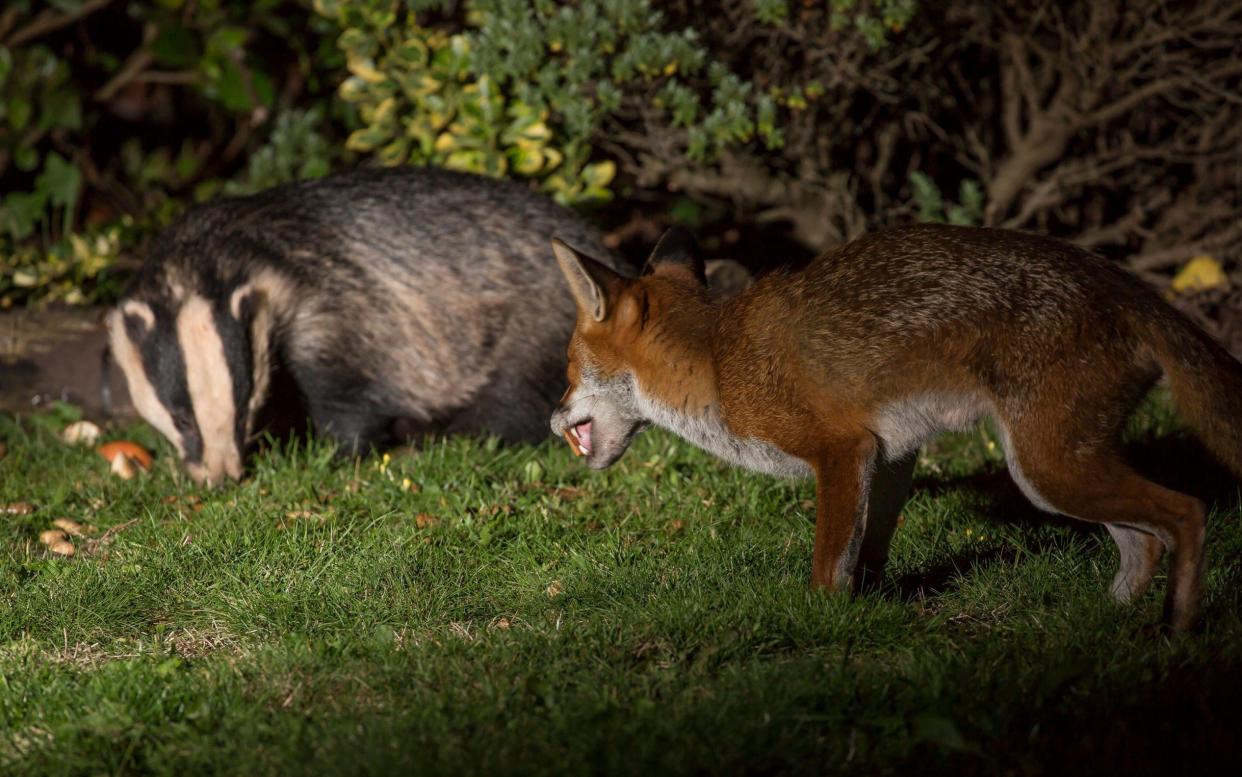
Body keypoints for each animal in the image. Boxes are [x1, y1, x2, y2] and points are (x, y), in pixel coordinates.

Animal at [548, 222, 1242, 630]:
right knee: (1145, 543)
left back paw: (1178, 631)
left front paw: (819, 623)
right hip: (1058, 472)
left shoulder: (841, 448)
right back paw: (1103, 625)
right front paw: (874, 605)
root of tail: (1122, 283)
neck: (717, 363)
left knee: (1187, 512)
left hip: (1047, 469)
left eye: (567, 368)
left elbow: (830, 563)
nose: (551, 419)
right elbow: (872, 549)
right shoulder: (891, 453)